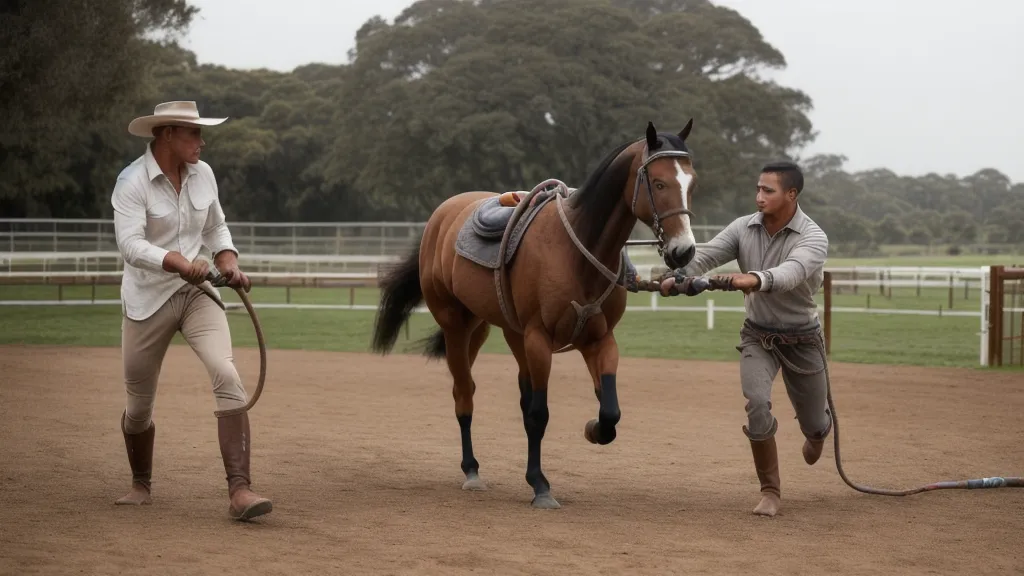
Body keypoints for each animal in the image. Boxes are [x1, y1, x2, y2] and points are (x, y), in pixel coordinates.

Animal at [370, 120, 699, 509]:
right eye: (659, 183)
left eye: (691, 182)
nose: (683, 250)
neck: (578, 252)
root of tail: (443, 216)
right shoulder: (539, 339)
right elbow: (540, 413)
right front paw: (541, 485)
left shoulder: (599, 340)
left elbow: (609, 412)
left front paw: (592, 431)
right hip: (456, 326)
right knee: (464, 393)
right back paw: (471, 470)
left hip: (494, 330)